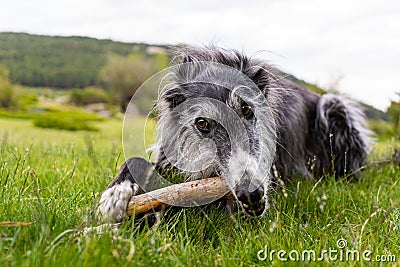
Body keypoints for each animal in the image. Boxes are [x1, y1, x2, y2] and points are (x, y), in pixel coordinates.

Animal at [97, 45, 372, 223]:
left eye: (247, 109)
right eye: (202, 123)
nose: (251, 194)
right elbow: (136, 161)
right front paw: (115, 193)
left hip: (334, 105)